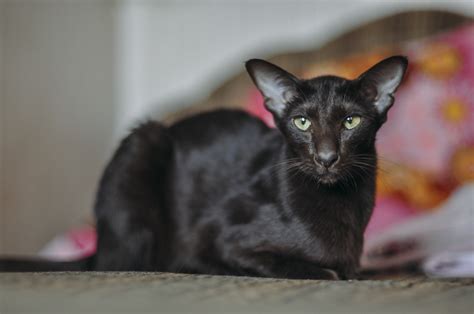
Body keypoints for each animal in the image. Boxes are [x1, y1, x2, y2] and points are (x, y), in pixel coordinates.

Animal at [0, 56, 408, 280]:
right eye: (302, 123)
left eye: (351, 122)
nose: (326, 157)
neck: (343, 205)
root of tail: (98, 245)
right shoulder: (224, 238)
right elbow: (324, 271)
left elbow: (352, 269)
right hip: (144, 142)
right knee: (125, 263)